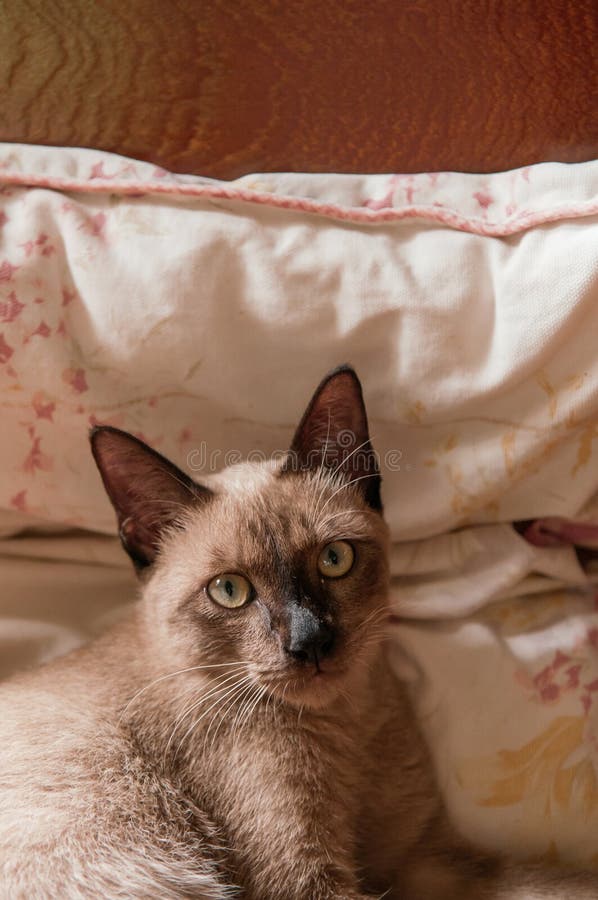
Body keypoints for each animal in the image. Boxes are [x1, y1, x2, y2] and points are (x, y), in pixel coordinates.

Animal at [1, 368, 598, 900]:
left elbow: (557, 885)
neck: (347, 732)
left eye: (334, 559)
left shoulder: (429, 860)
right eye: (230, 591)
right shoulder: (310, 883)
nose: (309, 643)